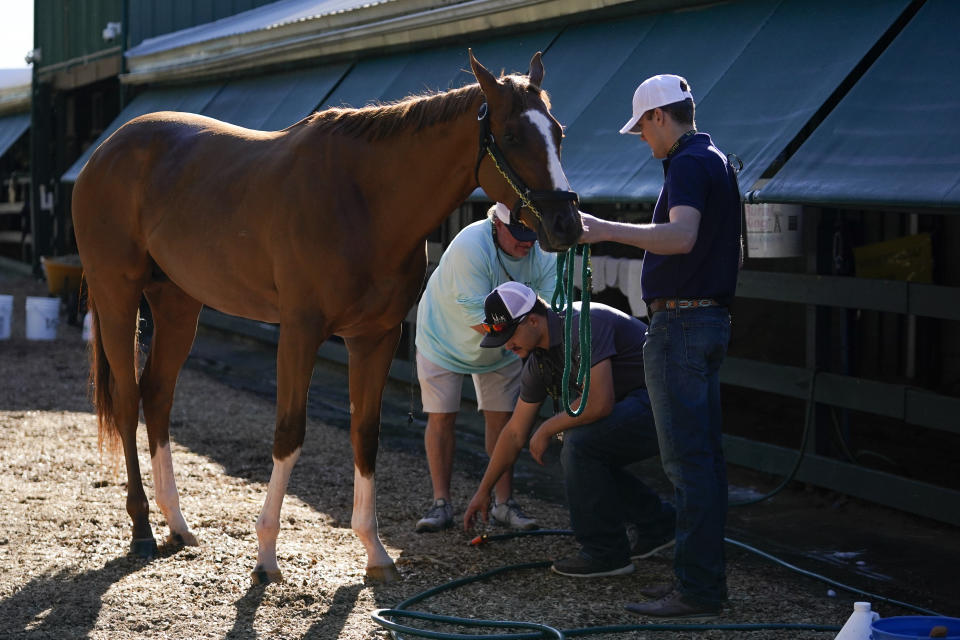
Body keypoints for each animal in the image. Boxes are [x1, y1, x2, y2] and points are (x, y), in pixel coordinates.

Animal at [71, 50, 580, 584]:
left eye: (558, 133)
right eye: (513, 135)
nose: (568, 225)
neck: (363, 200)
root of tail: (105, 151)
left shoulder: (375, 337)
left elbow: (366, 434)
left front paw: (375, 552)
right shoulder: (300, 331)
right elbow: (289, 431)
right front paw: (266, 556)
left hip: (177, 304)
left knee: (158, 396)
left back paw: (178, 525)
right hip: (117, 294)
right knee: (128, 399)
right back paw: (142, 529)